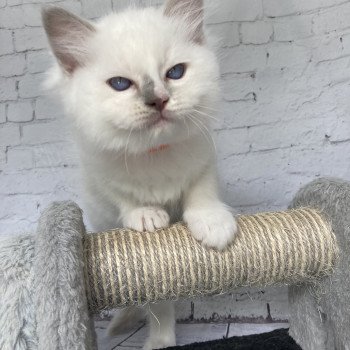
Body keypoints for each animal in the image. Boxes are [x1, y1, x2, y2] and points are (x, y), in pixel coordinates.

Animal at [41, 1, 238, 348]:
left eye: (175, 73)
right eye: (120, 84)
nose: (158, 100)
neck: (153, 152)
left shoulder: (205, 158)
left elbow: (201, 192)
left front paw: (213, 224)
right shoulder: (100, 176)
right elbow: (125, 196)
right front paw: (147, 215)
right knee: (155, 302)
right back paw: (155, 338)